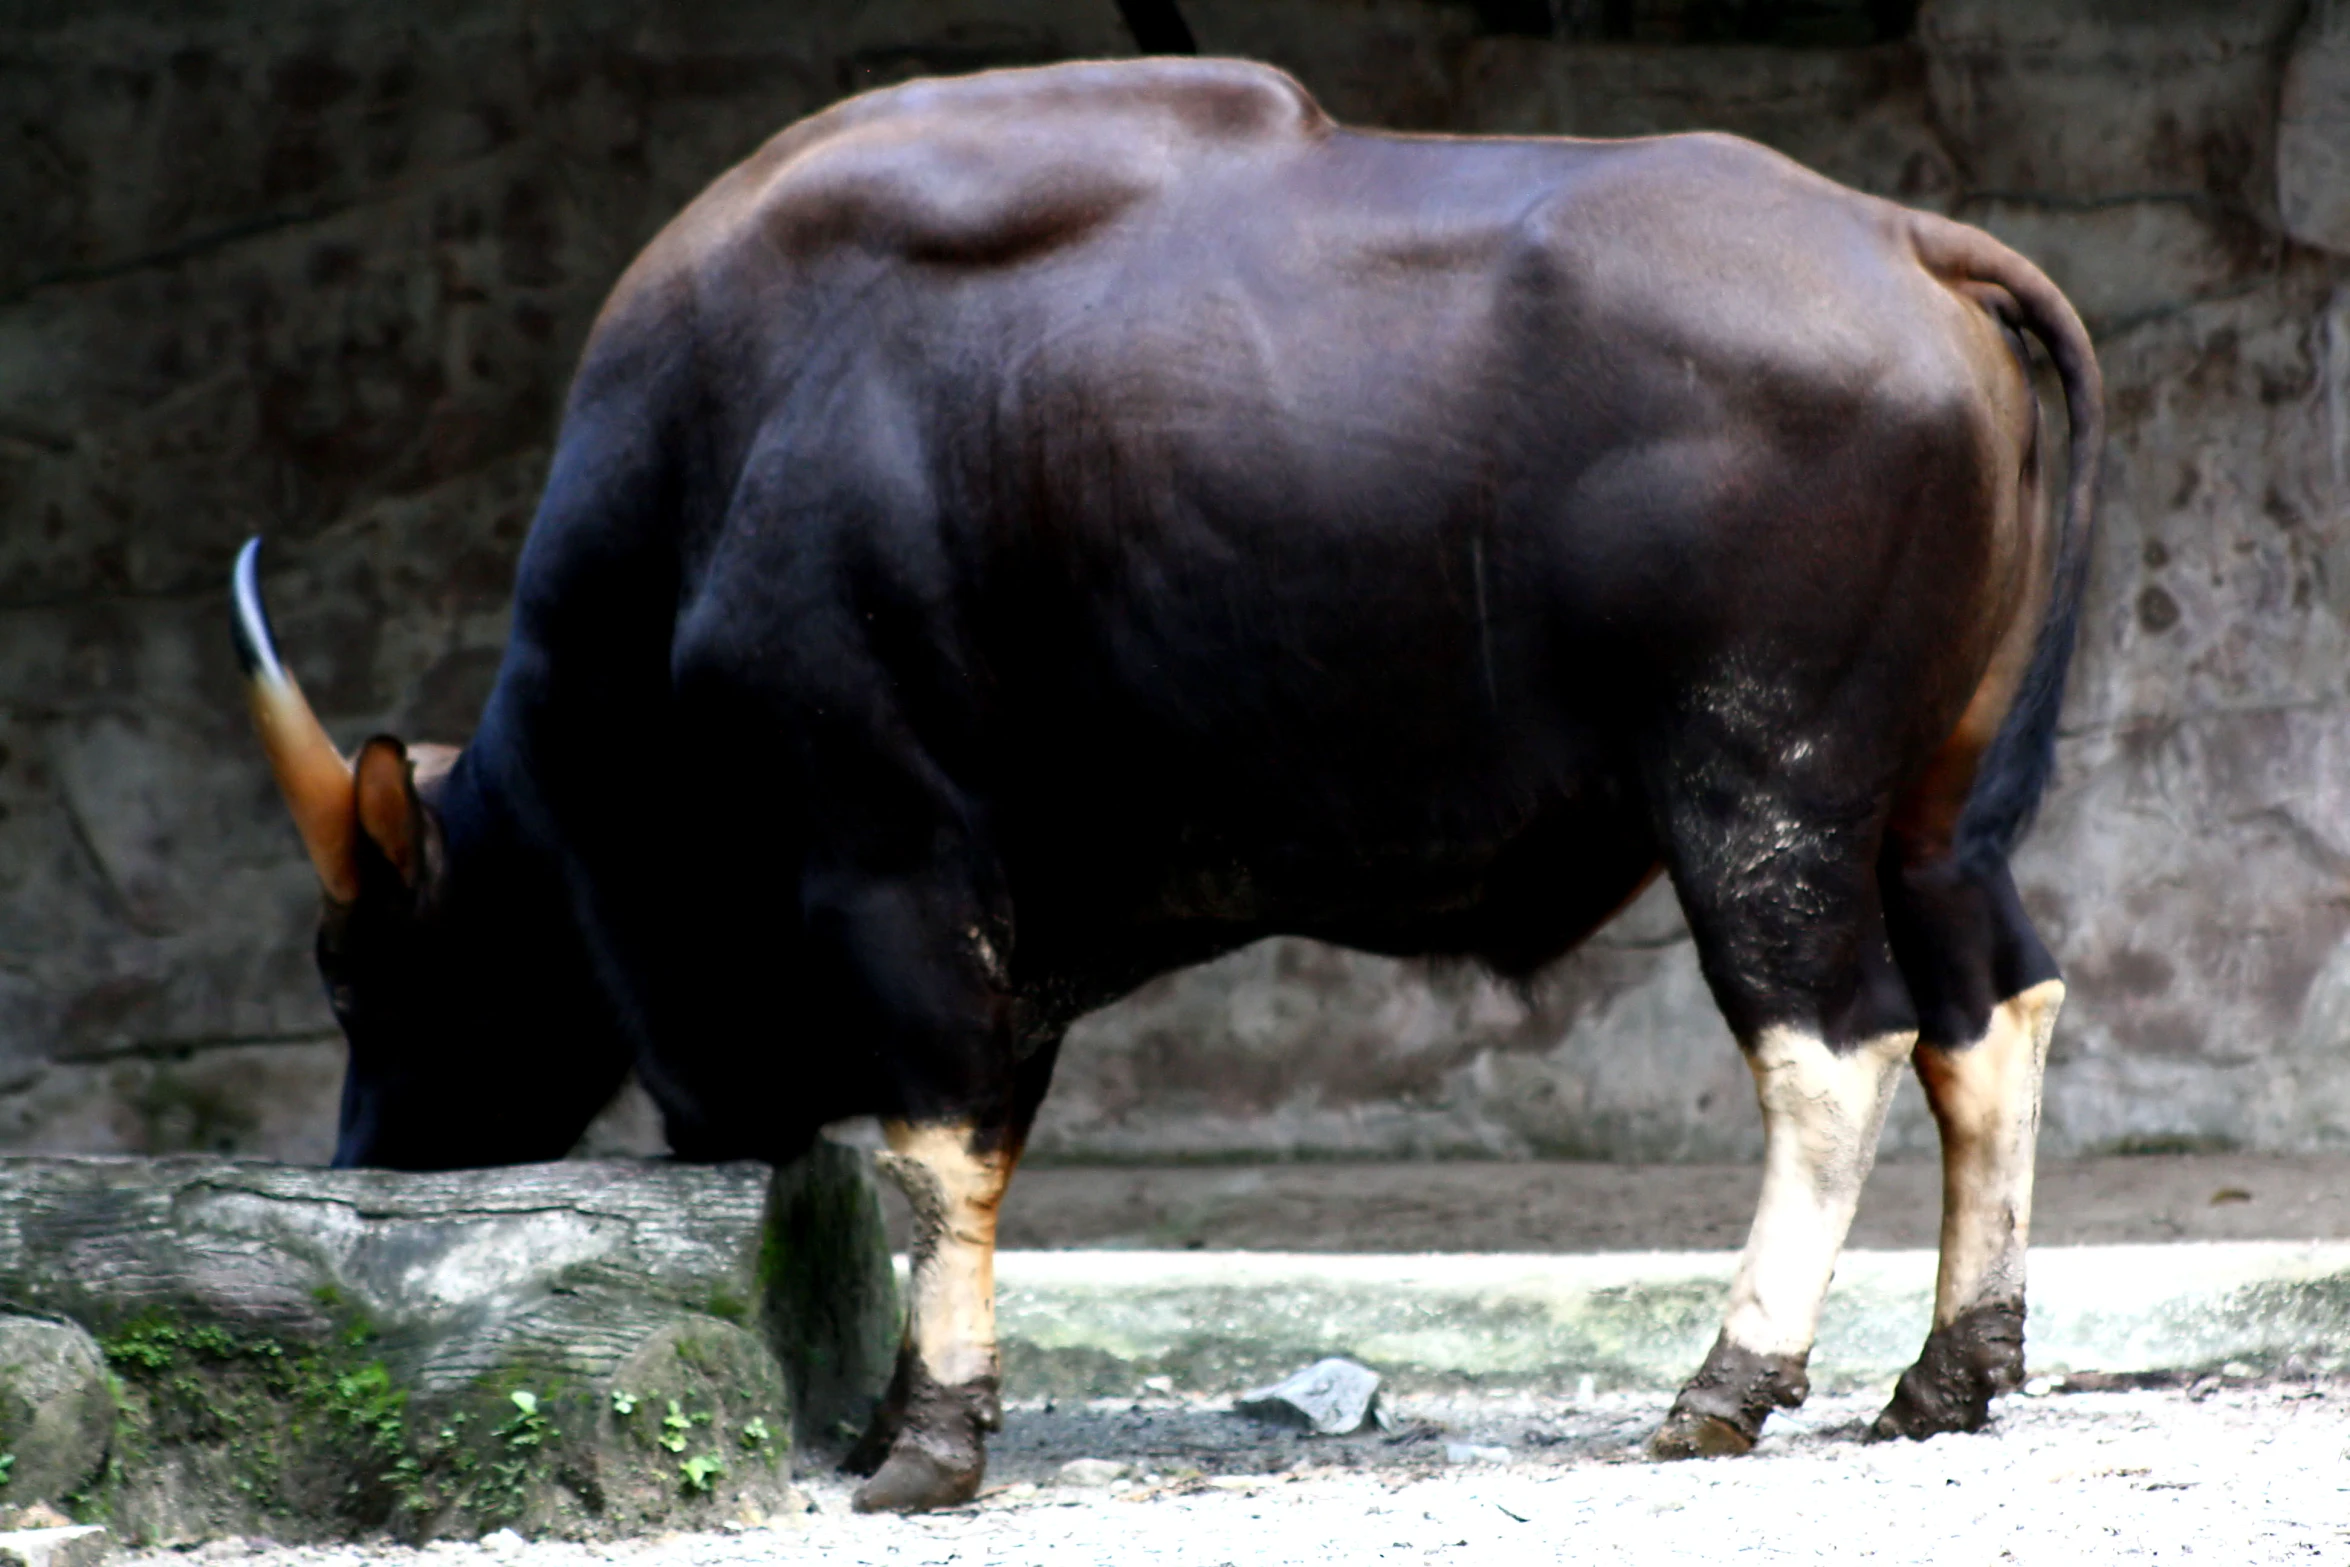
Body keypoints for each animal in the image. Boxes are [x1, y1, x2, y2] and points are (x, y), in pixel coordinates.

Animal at [233, 61, 2096, 1522]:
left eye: (361, 970)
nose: (368, 1157)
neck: (704, 471)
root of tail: (1908, 240)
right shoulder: (1011, 925)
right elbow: (971, 1141)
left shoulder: (892, 865)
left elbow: (932, 1148)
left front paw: (928, 1439)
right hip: (1922, 809)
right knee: (1987, 1008)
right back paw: (1949, 1369)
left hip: (1756, 787)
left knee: (1832, 1045)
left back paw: (1726, 1378)